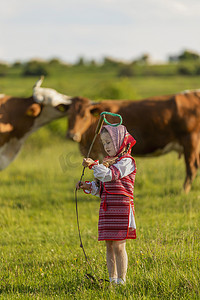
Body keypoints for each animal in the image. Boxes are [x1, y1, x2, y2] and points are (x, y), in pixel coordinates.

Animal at [67, 91, 200, 193]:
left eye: (84, 116)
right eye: (69, 116)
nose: (72, 135)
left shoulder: (100, 151)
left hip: (190, 140)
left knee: (191, 167)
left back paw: (184, 190)